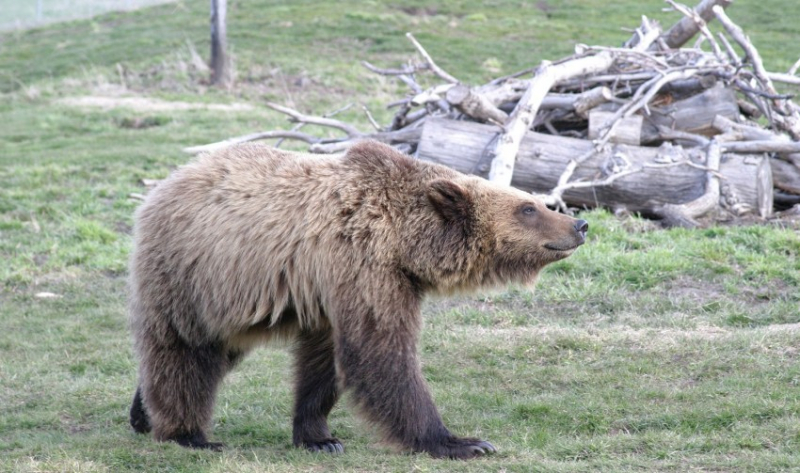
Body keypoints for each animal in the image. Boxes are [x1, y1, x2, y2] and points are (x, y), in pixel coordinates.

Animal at [128, 139, 584, 458]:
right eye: (529, 207)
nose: (579, 223)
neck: (404, 240)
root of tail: (164, 184)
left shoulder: (331, 294)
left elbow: (324, 363)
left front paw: (319, 437)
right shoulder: (363, 265)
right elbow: (380, 352)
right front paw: (461, 441)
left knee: (217, 353)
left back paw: (141, 413)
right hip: (195, 276)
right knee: (185, 350)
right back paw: (188, 433)